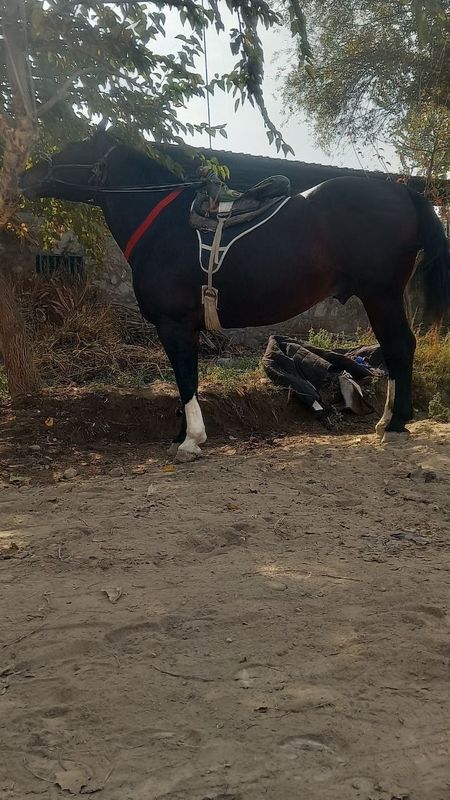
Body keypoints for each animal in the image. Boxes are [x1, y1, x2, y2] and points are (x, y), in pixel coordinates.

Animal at [21, 128, 450, 460]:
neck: (163, 225)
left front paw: (190, 442)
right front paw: (182, 436)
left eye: (72, 149)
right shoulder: (187, 328)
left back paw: (394, 423)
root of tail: (402, 193)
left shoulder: (173, 325)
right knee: (395, 350)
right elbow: (188, 380)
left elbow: (185, 379)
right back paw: (387, 419)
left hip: (382, 295)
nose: (25, 175)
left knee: (399, 348)